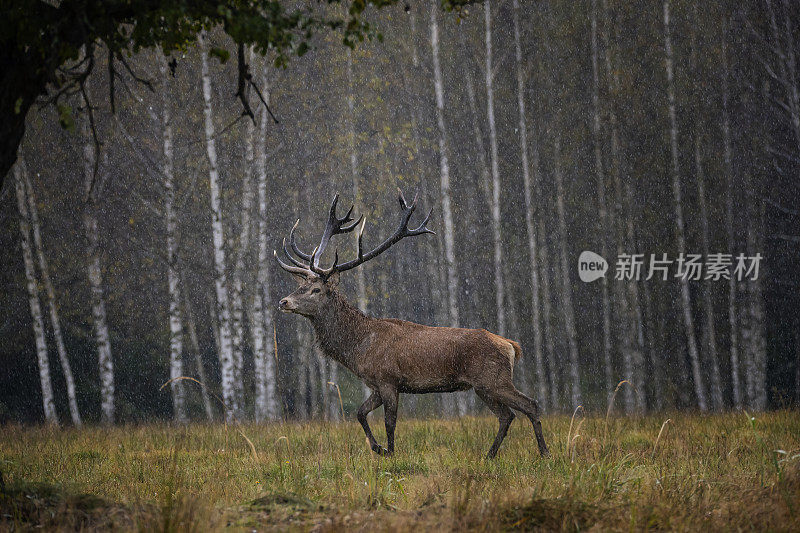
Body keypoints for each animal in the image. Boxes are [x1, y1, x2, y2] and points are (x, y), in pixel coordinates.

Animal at [276, 188, 552, 458]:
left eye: (316, 290)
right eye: (300, 286)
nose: (283, 301)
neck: (358, 348)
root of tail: (511, 346)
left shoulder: (388, 379)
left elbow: (390, 422)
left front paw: (390, 453)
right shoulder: (375, 385)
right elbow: (360, 413)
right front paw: (378, 448)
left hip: (492, 379)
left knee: (529, 405)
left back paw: (544, 453)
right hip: (486, 385)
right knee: (507, 415)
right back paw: (490, 455)